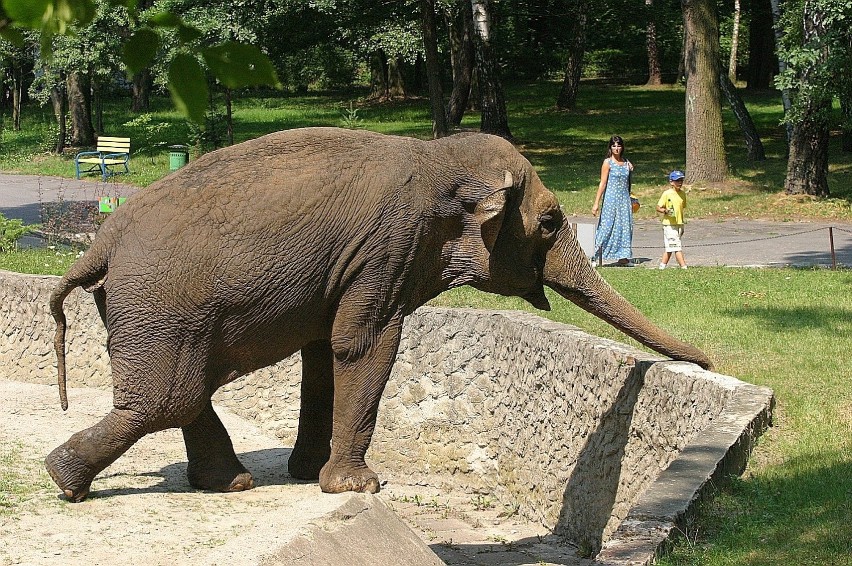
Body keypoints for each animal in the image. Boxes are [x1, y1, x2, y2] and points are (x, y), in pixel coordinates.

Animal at [46, 127, 712, 502]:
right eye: (549, 223)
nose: (707, 363)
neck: (437, 159)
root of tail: (100, 243)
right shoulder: (389, 247)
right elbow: (362, 343)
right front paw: (357, 487)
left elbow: (323, 352)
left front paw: (308, 474)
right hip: (160, 307)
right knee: (165, 400)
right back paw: (65, 481)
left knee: (186, 394)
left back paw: (225, 483)